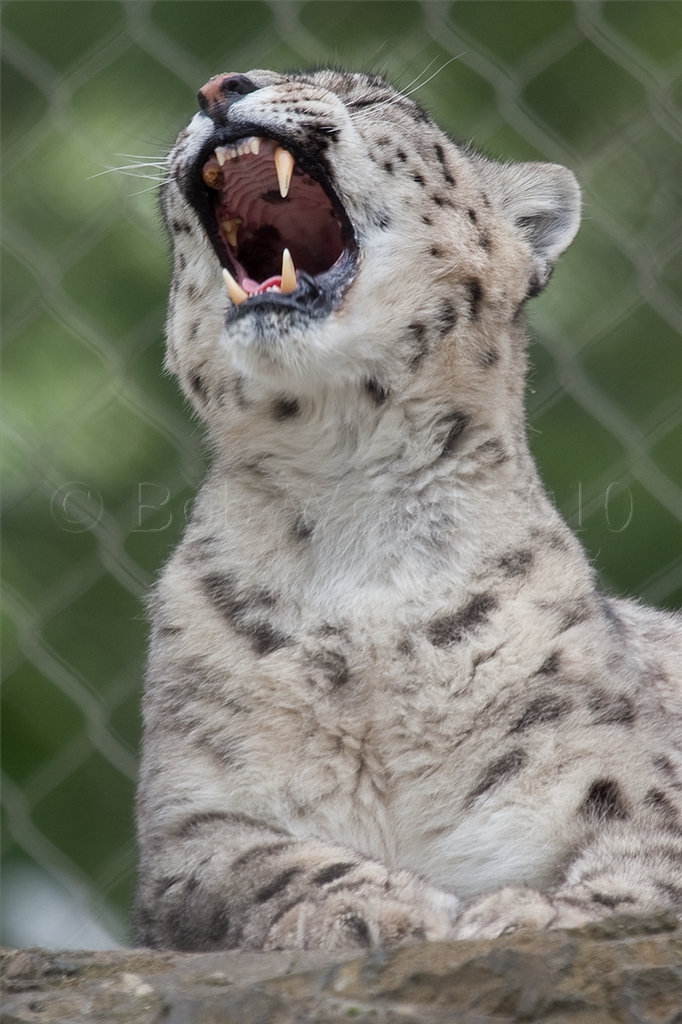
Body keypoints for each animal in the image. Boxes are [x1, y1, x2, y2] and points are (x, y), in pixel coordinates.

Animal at [135, 68, 682, 953]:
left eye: (368, 97)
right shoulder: (192, 817)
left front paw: (532, 916)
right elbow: (252, 866)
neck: (355, 499)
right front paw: (372, 908)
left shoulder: (618, 775)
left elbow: (645, 857)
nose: (220, 87)